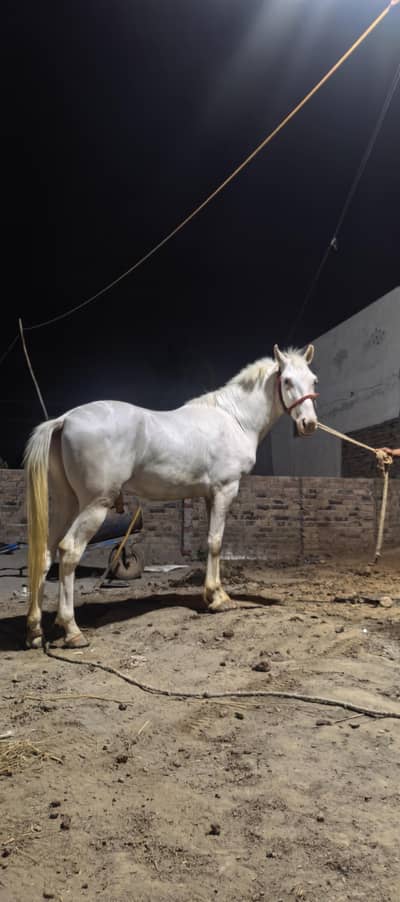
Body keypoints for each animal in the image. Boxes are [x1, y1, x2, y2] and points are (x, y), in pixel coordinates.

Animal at [24, 344, 318, 648]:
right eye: (287, 381)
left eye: (313, 381)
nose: (309, 424)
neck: (234, 419)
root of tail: (65, 419)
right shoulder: (225, 489)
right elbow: (216, 543)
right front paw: (220, 599)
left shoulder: (210, 495)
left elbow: (211, 542)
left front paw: (211, 594)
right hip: (95, 505)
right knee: (69, 551)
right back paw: (72, 630)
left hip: (66, 503)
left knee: (45, 554)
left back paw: (35, 631)